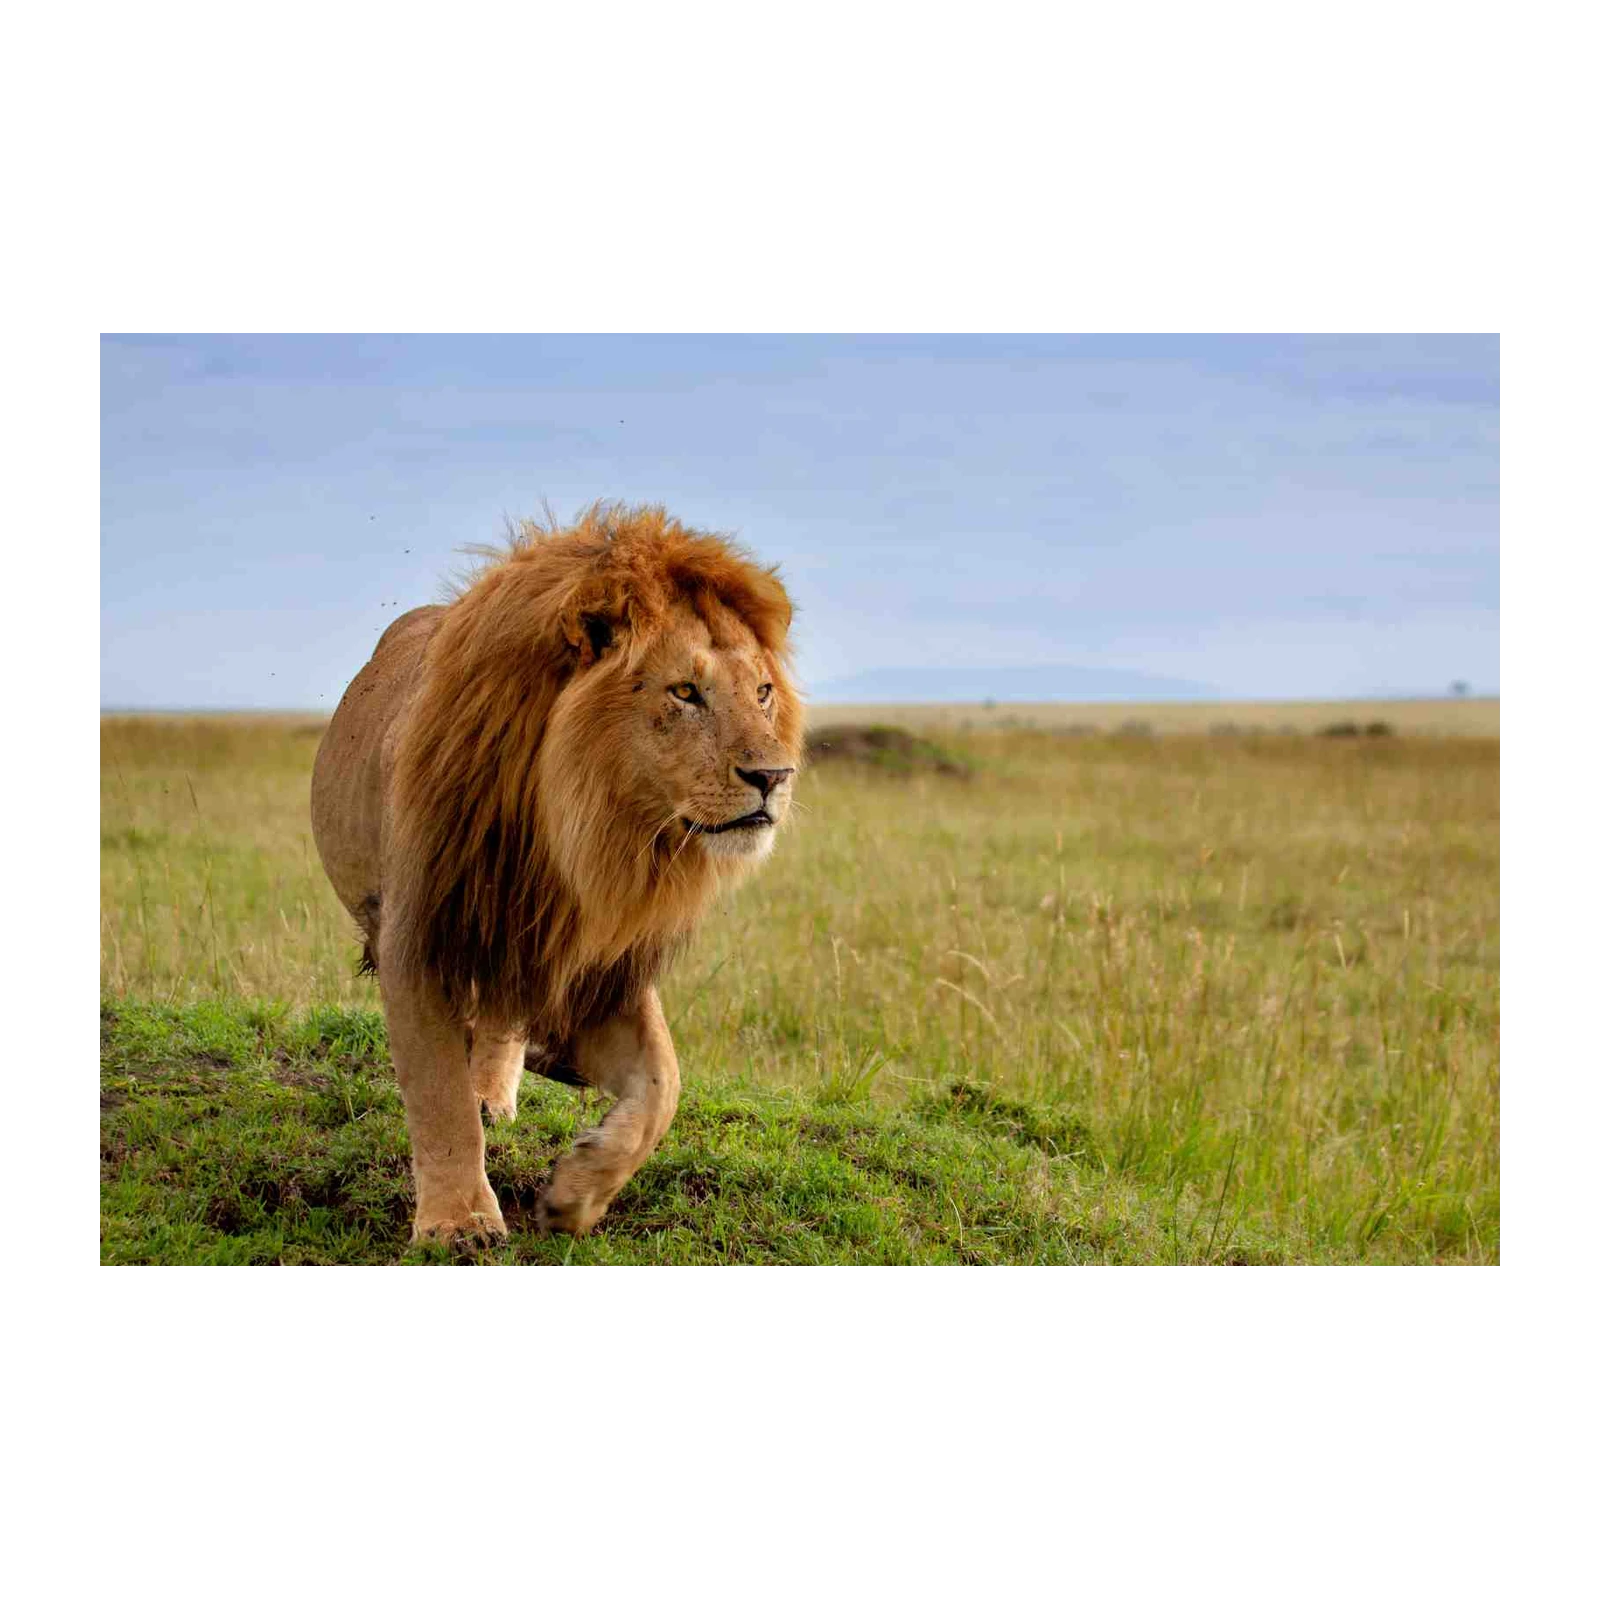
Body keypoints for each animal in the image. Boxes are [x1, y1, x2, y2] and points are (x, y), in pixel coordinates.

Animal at [310, 502, 803, 1244]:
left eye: (764, 692)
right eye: (685, 691)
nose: (774, 776)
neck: (579, 836)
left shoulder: (600, 964)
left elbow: (664, 1083)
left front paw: (577, 1193)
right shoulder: (420, 936)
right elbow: (437, 1094)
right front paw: (459, 1223)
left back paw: (506, 1087)